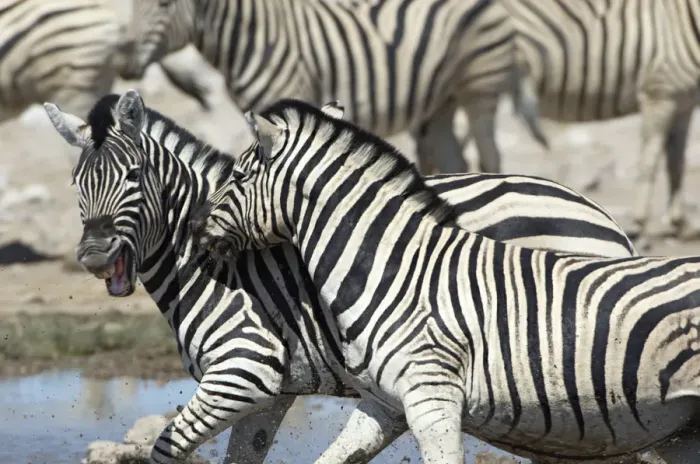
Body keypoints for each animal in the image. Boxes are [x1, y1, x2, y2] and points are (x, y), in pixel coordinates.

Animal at [42, 91, 637, 464]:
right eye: (76, 183)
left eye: (134, 175)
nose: (93, 255)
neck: (211, 266)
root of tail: (602, 219)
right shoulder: (274, 390)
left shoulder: (246, 366)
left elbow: (168, 447)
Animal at [118, 0, 549, 176]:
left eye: (164, 4)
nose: (125, 61)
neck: (250, 36)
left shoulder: (287, 92)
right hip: (441, 101)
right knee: (454, 156)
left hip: (479, 87)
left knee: (489, 153)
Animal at [194, 97, 700, 464]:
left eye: (237, 174)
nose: (198, 232)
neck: (396, 271)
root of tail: (606, 221)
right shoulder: (385, 403)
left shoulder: (432, 397)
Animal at [485, 0, 700, 244]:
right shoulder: (660, 93)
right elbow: (649, 163)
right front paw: (643, 224)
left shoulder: (684, 100)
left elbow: (676, 164)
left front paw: (681, 224)